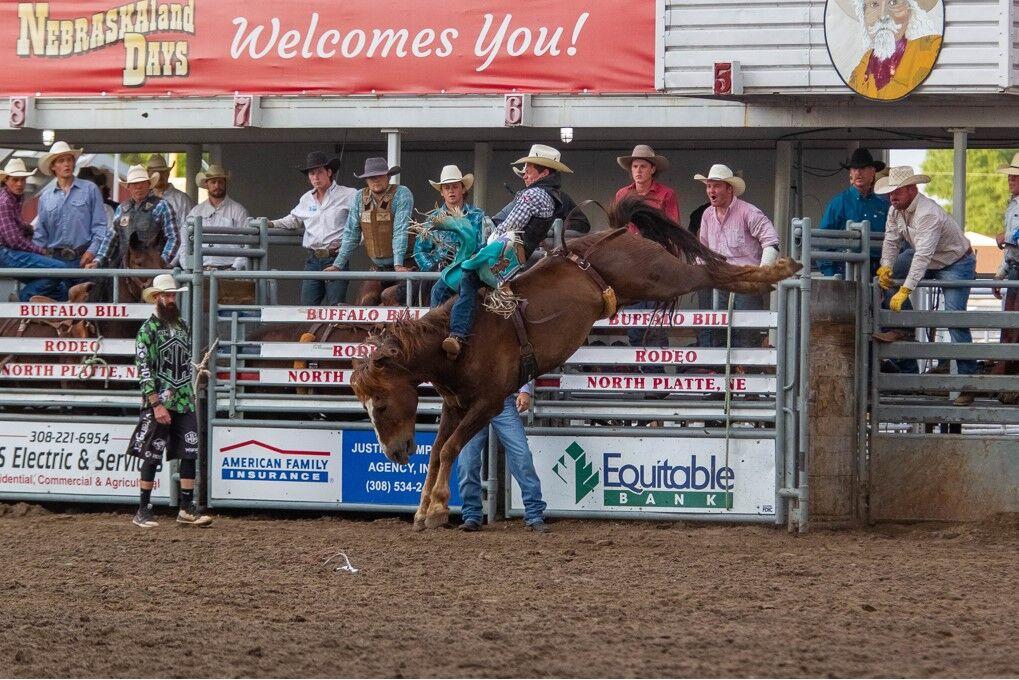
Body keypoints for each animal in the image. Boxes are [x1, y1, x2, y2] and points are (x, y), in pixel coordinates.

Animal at [350, 197, 802, 530]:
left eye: (382, 405)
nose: (395, 454)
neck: (458, 343)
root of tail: (616, 231)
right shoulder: (456, 405)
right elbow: (438, 452)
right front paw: (423, 509)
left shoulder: (488, 403)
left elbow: (449, 450)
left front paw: (440, 508)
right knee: (711, 270)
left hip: (661, 275)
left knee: (713, 272)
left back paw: (780, 267)